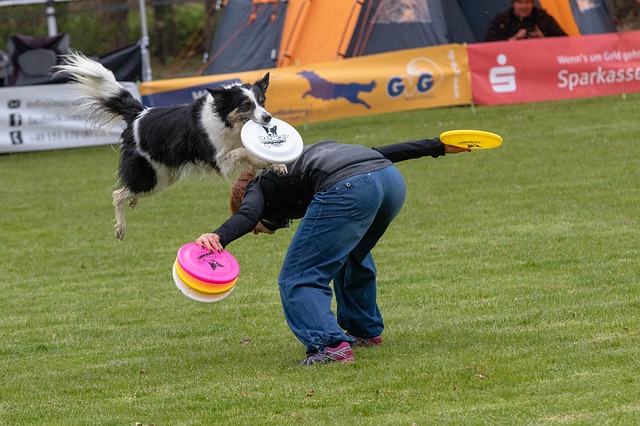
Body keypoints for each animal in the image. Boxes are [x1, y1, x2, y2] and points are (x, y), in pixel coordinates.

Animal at [55, 51, 284, 240]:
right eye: (246, 105)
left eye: (262, 101)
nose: (267, 117)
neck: (226, 120)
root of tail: (139, 114)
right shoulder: (218, 160)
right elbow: (244, 151)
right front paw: (266, 163)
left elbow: (254, 153)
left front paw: (277, 164)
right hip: (150, 177)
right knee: (116, 195)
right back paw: (120, 228)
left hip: (164, 178)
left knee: (126, 190)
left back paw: (133, 200)